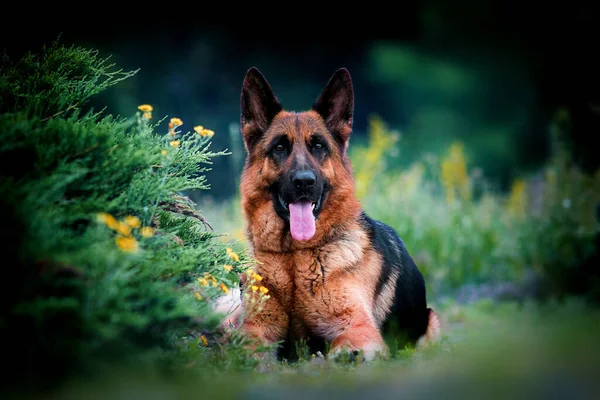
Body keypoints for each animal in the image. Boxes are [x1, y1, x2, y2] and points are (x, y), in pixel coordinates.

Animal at [227, 66, 438, 362]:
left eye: (318, 146)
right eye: (279, 148)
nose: (304, 182)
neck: (295, 257)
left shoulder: (358, 326)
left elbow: (347, 346)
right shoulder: (256, 327)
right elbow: (244, 345)